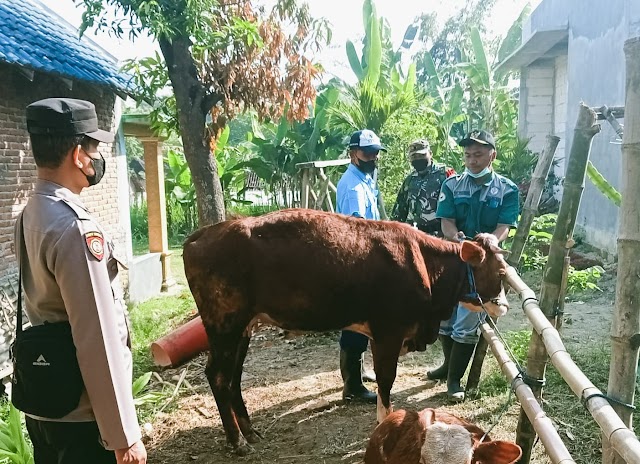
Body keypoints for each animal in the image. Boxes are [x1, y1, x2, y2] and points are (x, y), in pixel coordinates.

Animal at [181, 208, 510, 454]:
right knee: (218, 375)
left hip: (242, 328)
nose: (505, 306)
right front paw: (384, 425)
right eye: (501, 272)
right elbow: (386, 382)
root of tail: (205, 233)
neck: (425, 265)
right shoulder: (388, 333)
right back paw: (237, 442)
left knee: (233, 376)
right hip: (224, 324)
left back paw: (249, 432)